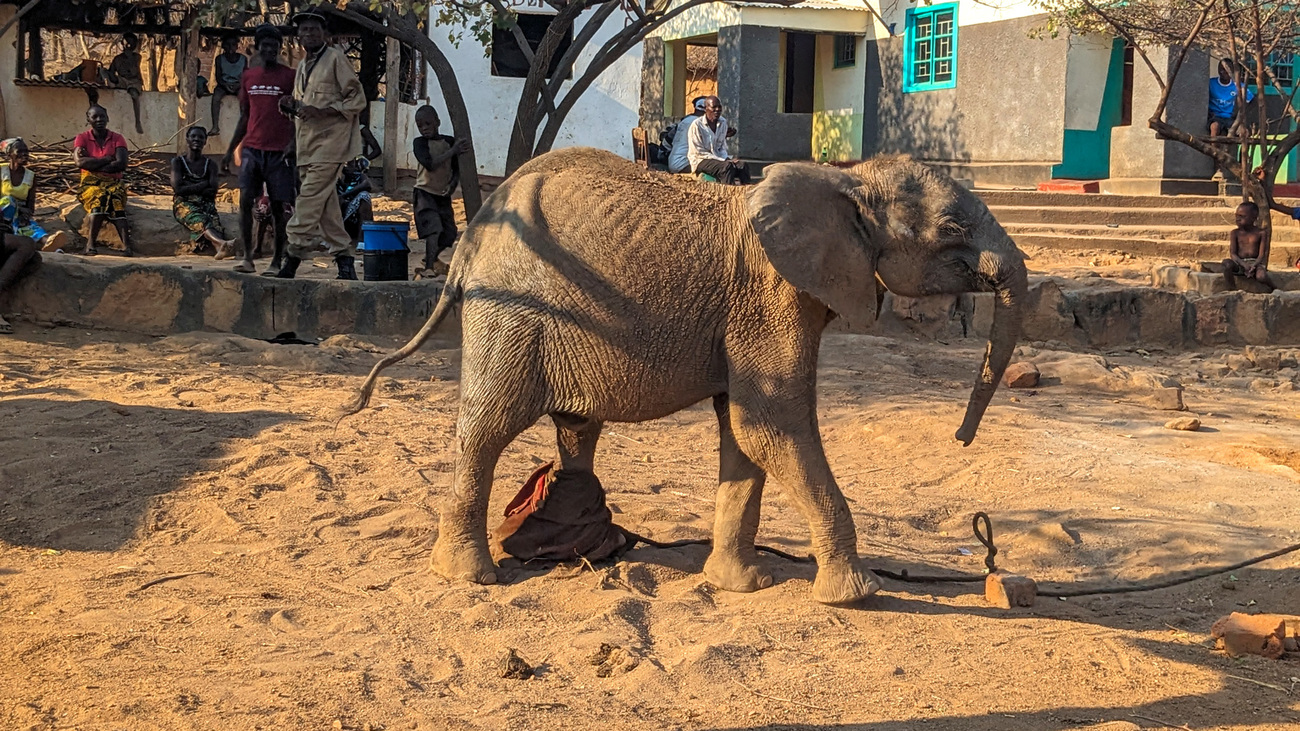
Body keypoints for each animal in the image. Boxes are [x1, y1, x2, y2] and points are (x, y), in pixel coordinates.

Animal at [348, 148, 1024, 603]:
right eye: (953, 229)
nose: (961, 438)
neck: (845, 178)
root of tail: (475, 232)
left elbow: (745, 437)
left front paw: (741, 586)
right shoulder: (772, 299)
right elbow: (770, 428)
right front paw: (853, 596)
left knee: (575, 427)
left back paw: (582, 549)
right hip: (514, 309)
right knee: (489, 428)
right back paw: (471, 577)